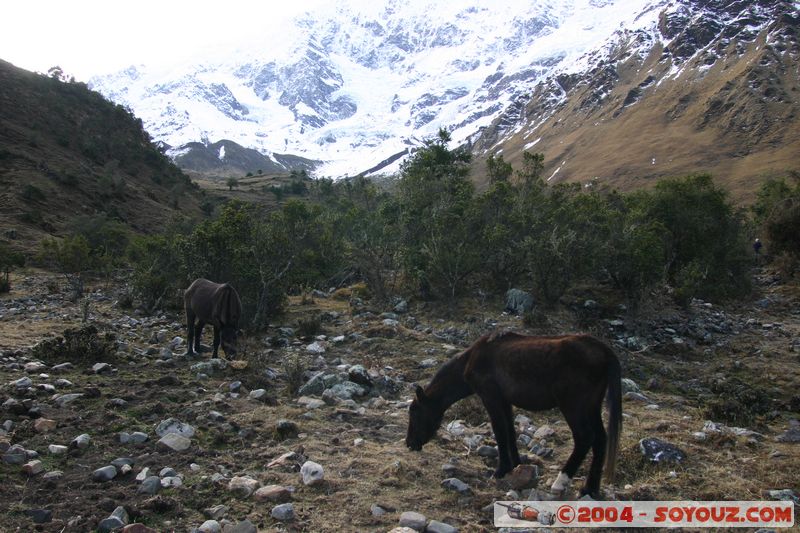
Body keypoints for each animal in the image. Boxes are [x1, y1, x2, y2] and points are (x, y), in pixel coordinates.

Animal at [405, 331, 622, 499]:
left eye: (415, 413)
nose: (409, 443)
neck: (474, 358)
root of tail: (602, 350)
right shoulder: (505, 401)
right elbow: (510, 431)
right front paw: (516, 465)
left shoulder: (491, 398)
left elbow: (500, 431)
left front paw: (501, 470)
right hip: (592, 407)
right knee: (600, 439)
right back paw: (589, 489)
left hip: (573, 407)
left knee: (585, 438)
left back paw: (561, 482)